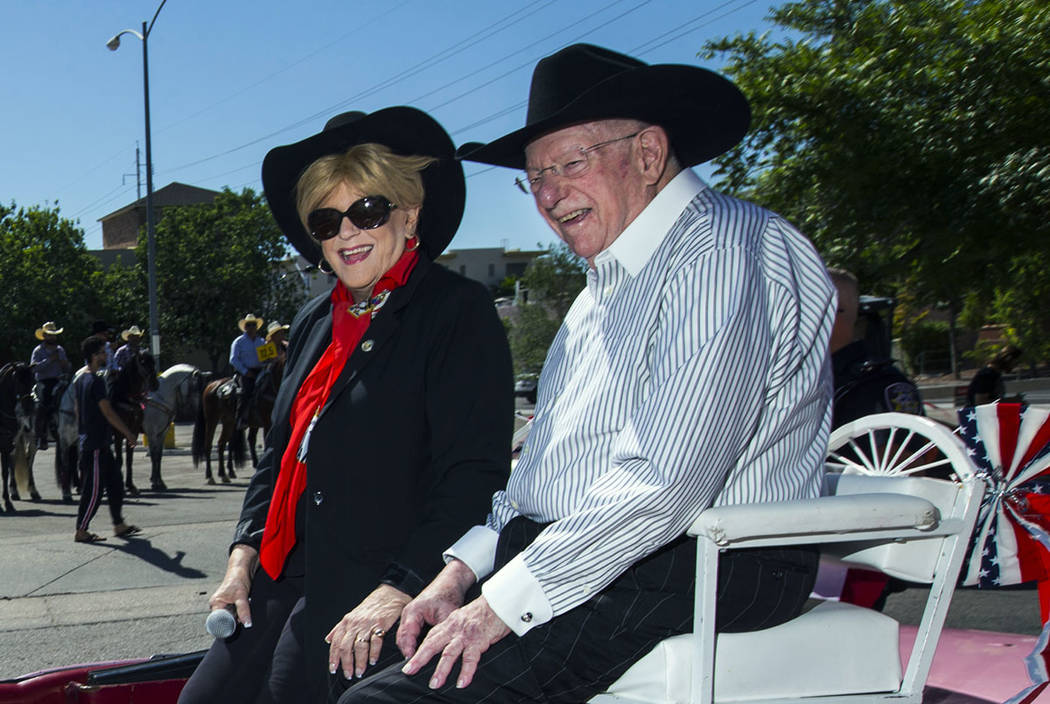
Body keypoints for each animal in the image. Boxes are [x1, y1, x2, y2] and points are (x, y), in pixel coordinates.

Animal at [111, 350, 160, 495]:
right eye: (143, 363)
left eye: (153, 362)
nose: (155, 384)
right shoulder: (118, 434)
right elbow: (120, 459)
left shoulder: (132, 433)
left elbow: (129, 459)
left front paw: (131, 485)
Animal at [140, 363, 203, 491]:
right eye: (195, 387)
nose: (200, 409)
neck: (160, 397)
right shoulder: (152, 434)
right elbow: (153, 456)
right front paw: (155, 483)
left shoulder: (161, 434)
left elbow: (159, 456)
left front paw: (160, 482)